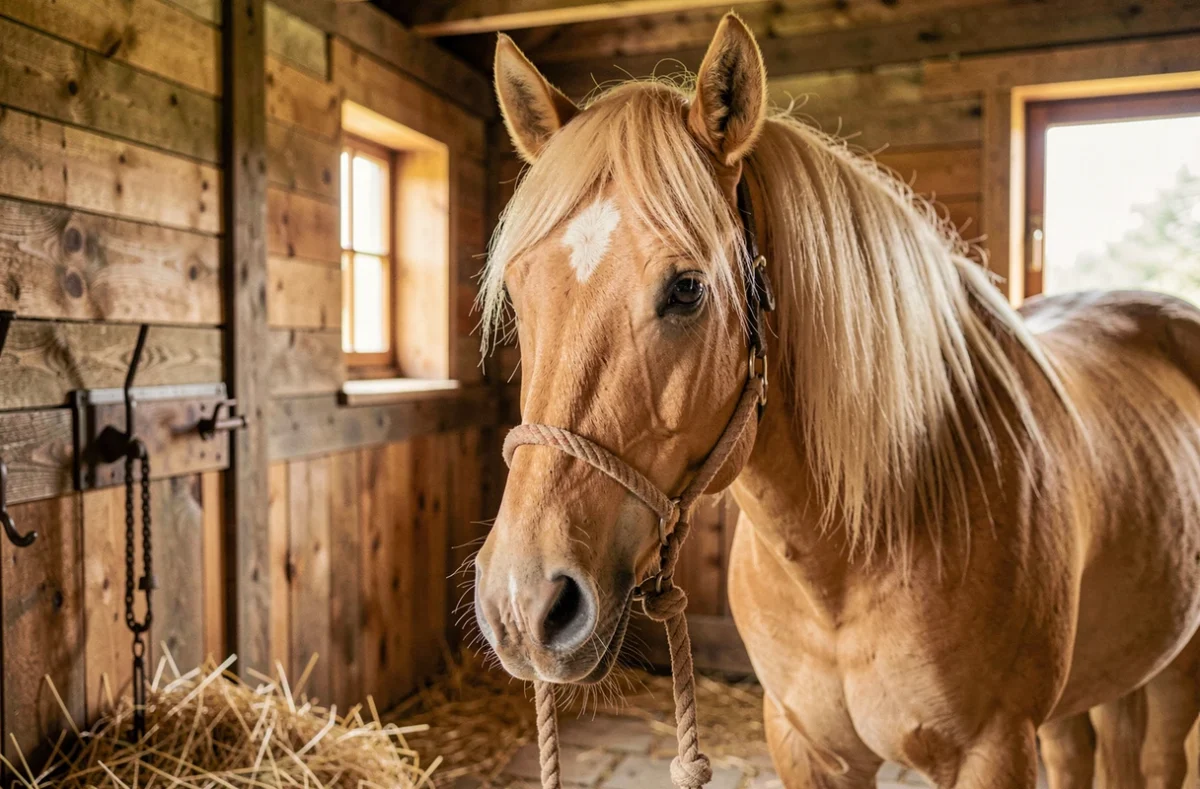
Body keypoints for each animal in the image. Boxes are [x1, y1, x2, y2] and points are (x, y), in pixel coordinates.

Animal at [471, 14, 1200, 788]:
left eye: (687, 288)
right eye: (518, 290)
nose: (524, 603)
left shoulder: (994, 748)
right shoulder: (806, 742)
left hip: (1177, 668)